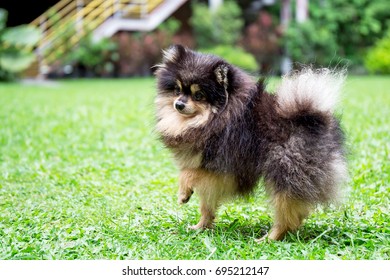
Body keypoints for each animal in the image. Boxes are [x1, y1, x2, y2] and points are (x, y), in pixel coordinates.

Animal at [152, 45, 348, 241]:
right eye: (177, 90)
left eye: (199, 95)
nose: (179, 104)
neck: (212, 117)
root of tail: (315, 118)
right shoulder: (216, 173)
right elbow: (206, 203)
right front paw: (201, 226)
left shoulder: (225, 166)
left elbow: (187, 174)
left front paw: (183, 193)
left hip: (286, 171)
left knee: (286, 211)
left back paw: (269, 238)